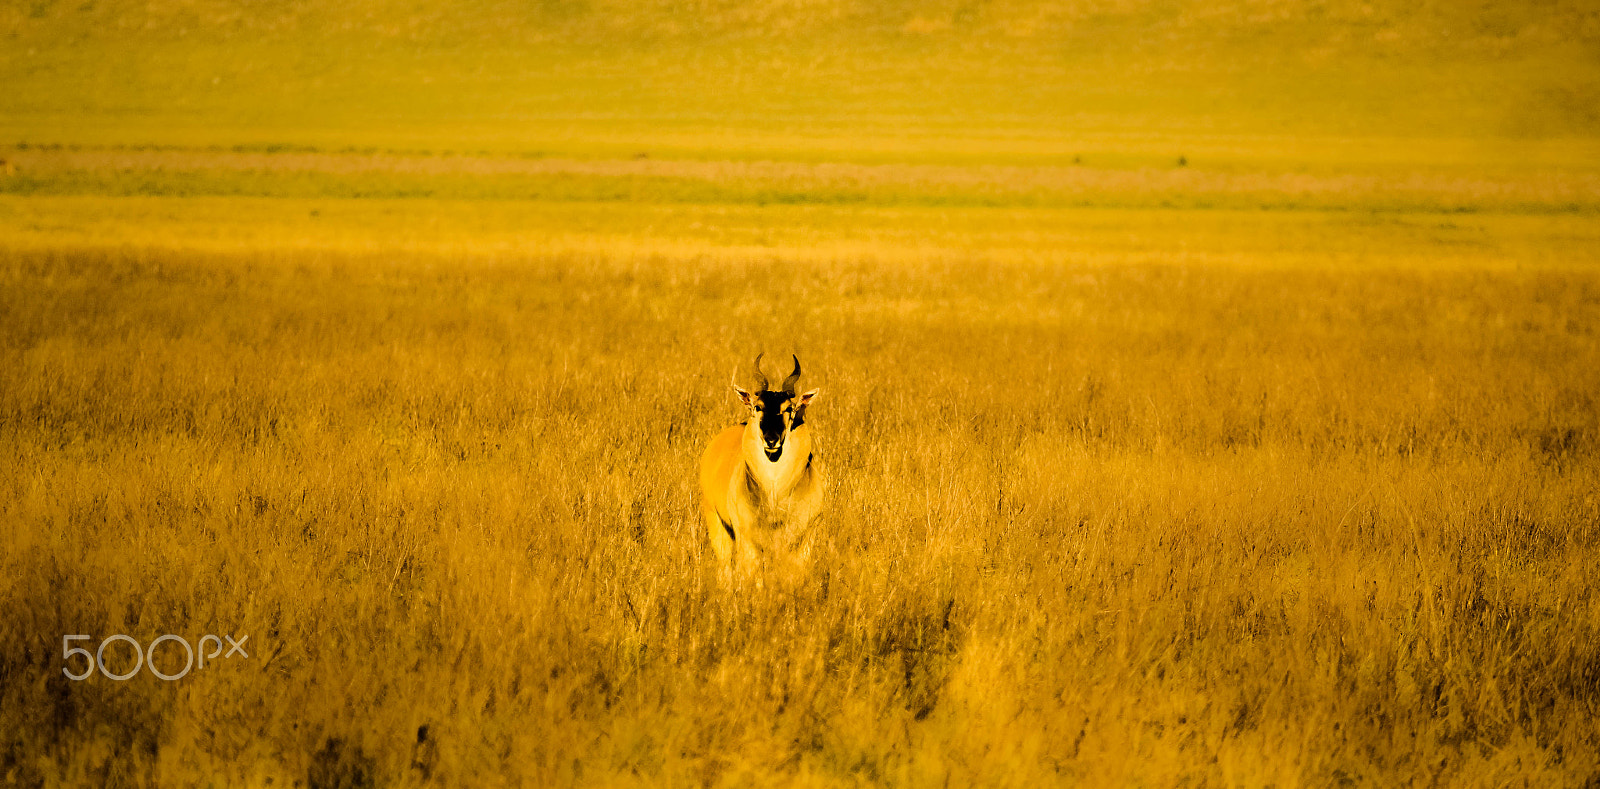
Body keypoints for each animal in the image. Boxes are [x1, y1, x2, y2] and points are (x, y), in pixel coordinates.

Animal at [699, 354, 824, 585]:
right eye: (758, 407)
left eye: (789, 409)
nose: (771, 439)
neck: (774, 498)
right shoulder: (747, 539)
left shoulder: (805, 536)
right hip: (717, 524)